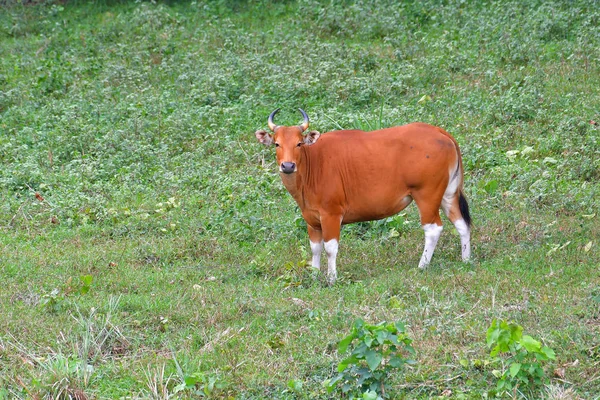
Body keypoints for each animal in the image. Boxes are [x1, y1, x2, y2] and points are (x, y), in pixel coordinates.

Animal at [255, 108, 472, 284]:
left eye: (299, 143)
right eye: (276, 144)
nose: (288, 165)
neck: (313, 165)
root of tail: (440, 132)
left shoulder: (331, 214)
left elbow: (330, 248)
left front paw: (331, 278)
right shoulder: (312, 220)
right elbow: (315, 248)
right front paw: (315, 276)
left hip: (426, 195)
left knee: (433, 228)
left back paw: (422, 265)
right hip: (448, 193)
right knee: (462, 223)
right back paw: (466, 259)